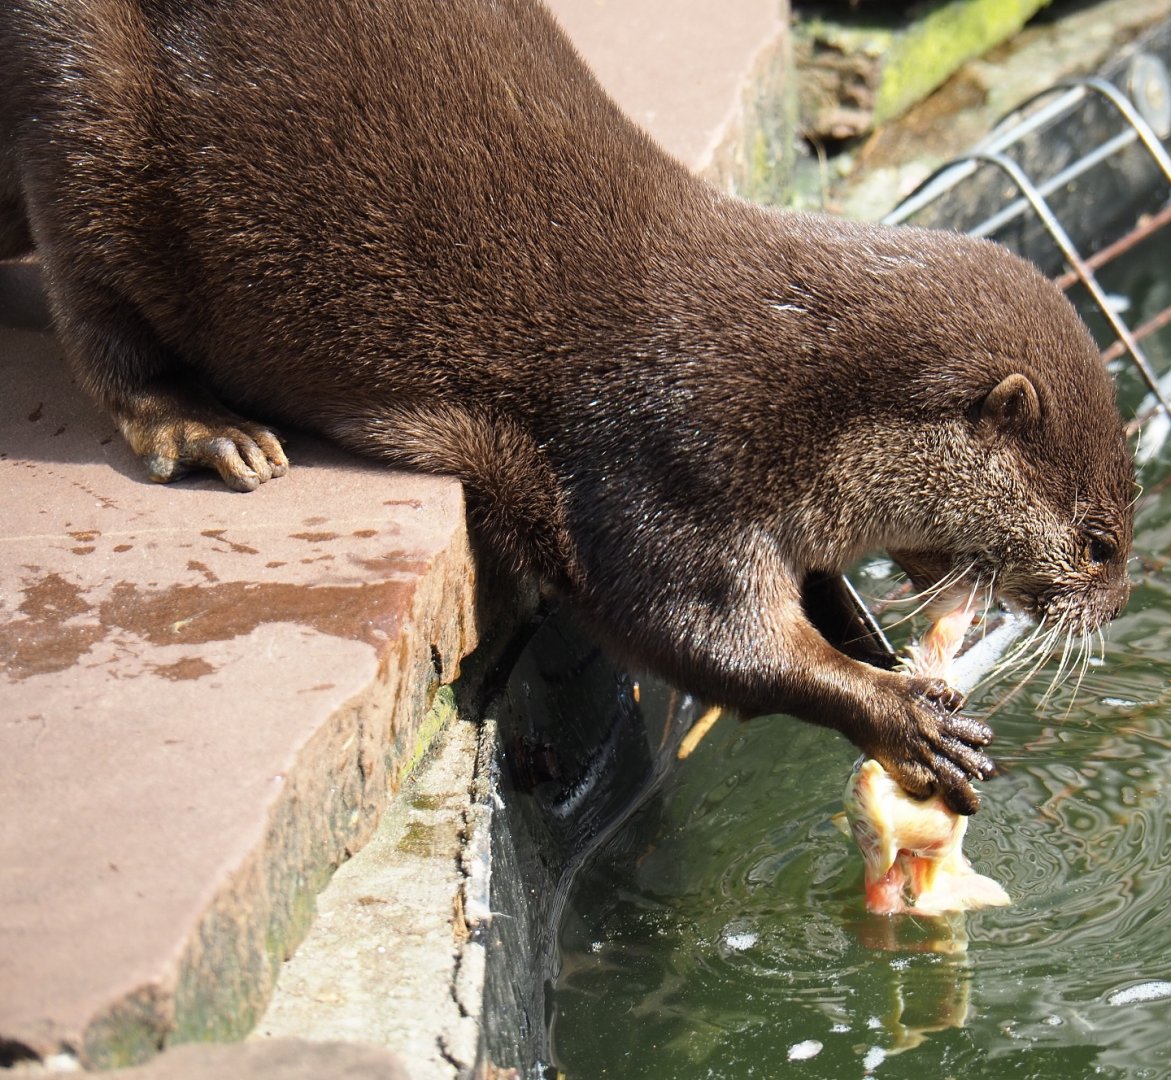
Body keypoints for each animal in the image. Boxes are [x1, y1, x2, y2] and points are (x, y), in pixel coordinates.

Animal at [0, 0, 1134, 813]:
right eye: (1098, 545)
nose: (1115, 610)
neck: (793, 396)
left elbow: (811, 599)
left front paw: (874, 644)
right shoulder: (663, 463)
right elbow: (704, 640)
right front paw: (902, 714)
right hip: (86, 99)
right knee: (90, 297)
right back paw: (202, 428)